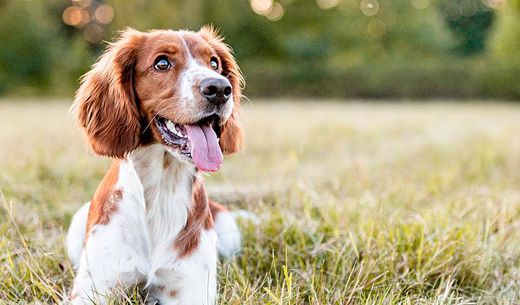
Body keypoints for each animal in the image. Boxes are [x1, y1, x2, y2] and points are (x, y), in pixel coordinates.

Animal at [65, 26, 244, 304]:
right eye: (162, 63)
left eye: (214, 63)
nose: (219, 88)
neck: (162, 187)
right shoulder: (93, 289)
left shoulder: (190, 290)